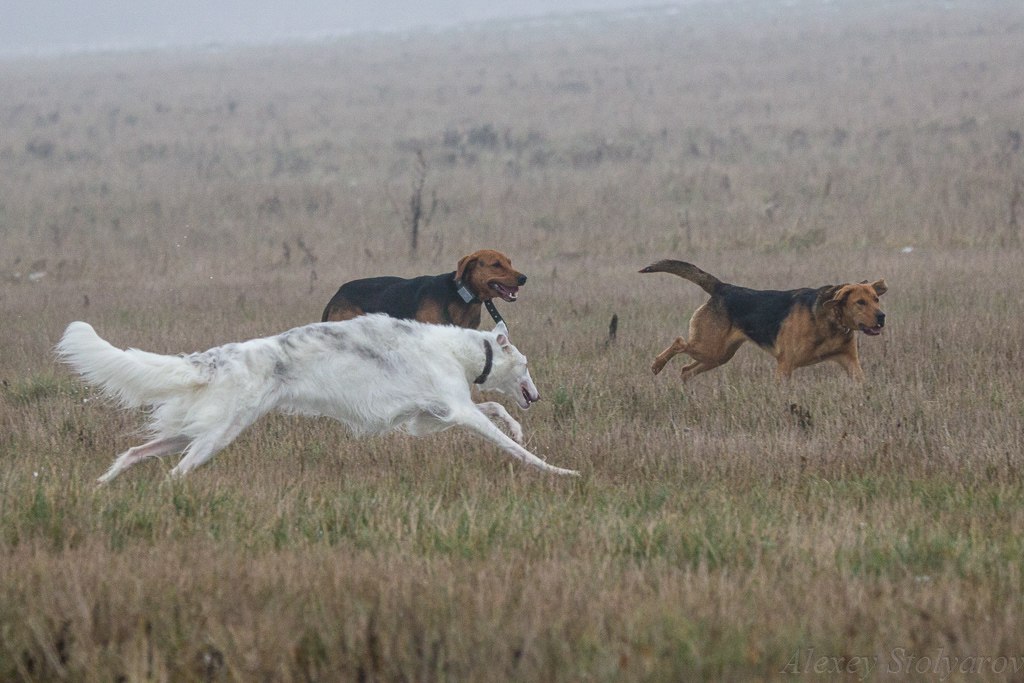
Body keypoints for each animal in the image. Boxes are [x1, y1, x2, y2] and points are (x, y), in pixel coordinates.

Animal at [58, 315, 577, 481]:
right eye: (527, 365)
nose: (537, 394)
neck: (462, 349)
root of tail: (219, 357)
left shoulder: (430, 417)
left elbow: (497, 410)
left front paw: (520, 426)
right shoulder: (459, 411)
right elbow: (510, 441)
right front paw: (560, 471)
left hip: (195, 430)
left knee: (135, 451)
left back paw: (101, 487)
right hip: (215, 435)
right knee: (174, 474)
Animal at [638, 259, 888, 382]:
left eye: (876, 299)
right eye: (860, 302)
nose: (882, 317)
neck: (832, 322)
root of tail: (722, 288)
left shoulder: (850, 362)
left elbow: (861, 383)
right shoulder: (785, 363)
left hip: (719, 355)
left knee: (686, 370)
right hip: (709, 347)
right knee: (679, 342)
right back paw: (656, 365)